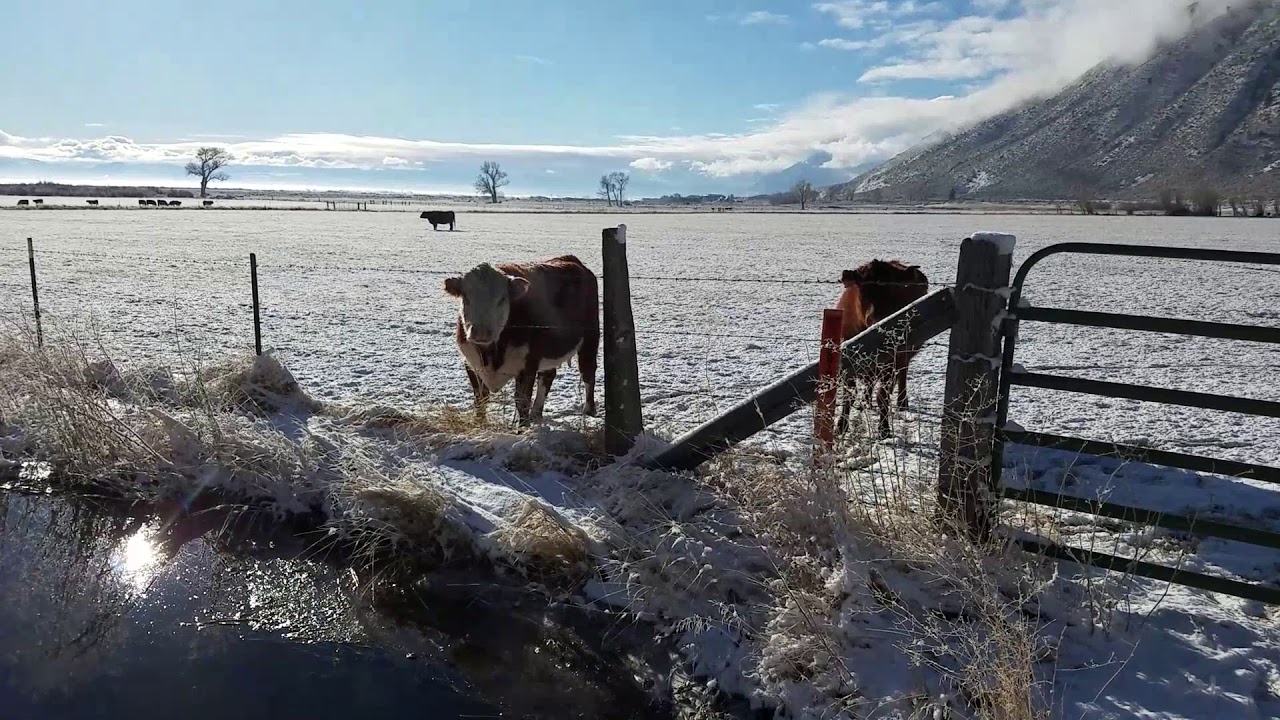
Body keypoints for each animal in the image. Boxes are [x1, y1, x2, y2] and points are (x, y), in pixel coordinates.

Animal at [443, 255, 599, 427]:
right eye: (466, 297)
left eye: (502, 299)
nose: (481, 332)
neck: (491, 353)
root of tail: (570, 259)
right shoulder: (471, 364)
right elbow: (480, 398)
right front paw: (480, 422)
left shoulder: (528, 365)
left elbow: (522, 401)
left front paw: (523, 427)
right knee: (548, 376)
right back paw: (536, 414)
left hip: (591, 338)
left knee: (588, 371)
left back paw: (589, 411)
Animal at [834, 259, 930, 438]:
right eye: (862, 289)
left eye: (893, 290)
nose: (875, 318)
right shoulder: (846, 362)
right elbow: (849, 395)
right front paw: (841, 425)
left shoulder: (890, 362)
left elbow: (882, 396)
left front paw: (884, 429)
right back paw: (865, 401)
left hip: (905, 355)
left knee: (902, 375)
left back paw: (902, 402)